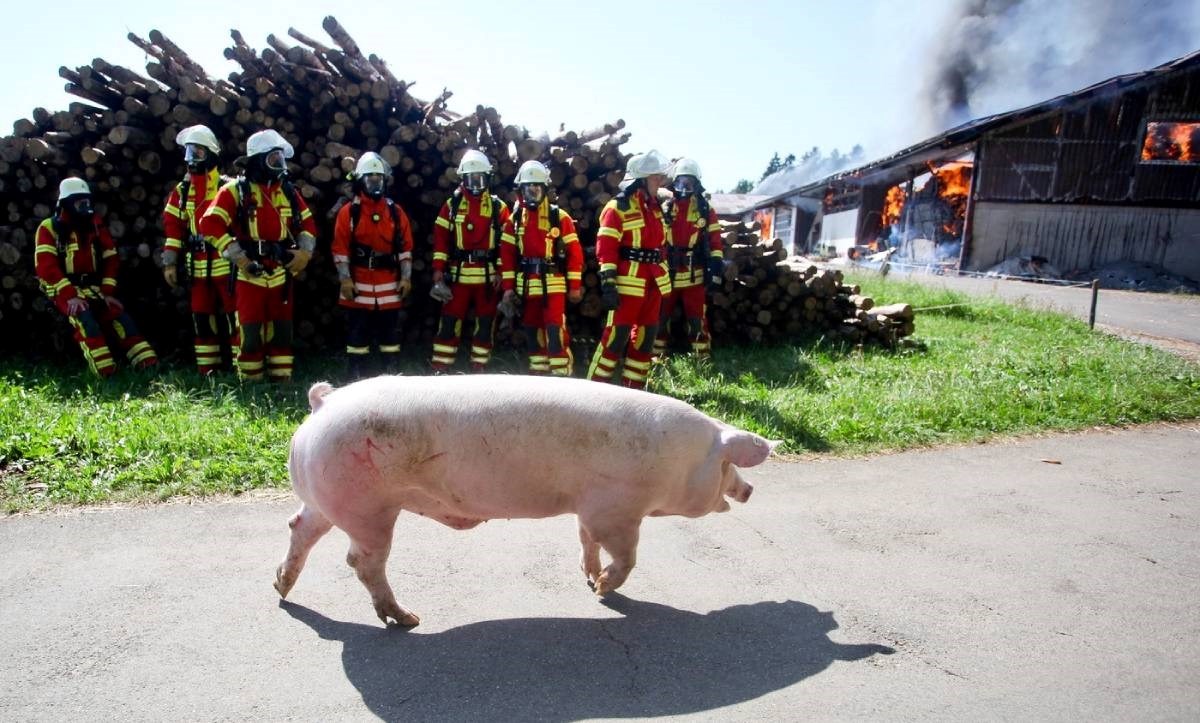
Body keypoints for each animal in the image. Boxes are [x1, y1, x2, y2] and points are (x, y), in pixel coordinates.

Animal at [273, 374, 777, 619]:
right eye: (727, 463)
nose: (750, 489)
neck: (675, 461)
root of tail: (323, 404)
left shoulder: (588, 508)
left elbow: (584, 539)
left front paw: (589, 580)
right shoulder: (616, 509)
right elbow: (627, 555)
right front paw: (603, 590)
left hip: (326, 498)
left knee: (300, 529)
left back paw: (281, 587)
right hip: (369, 508)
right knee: (361, 562)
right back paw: (408, 619)